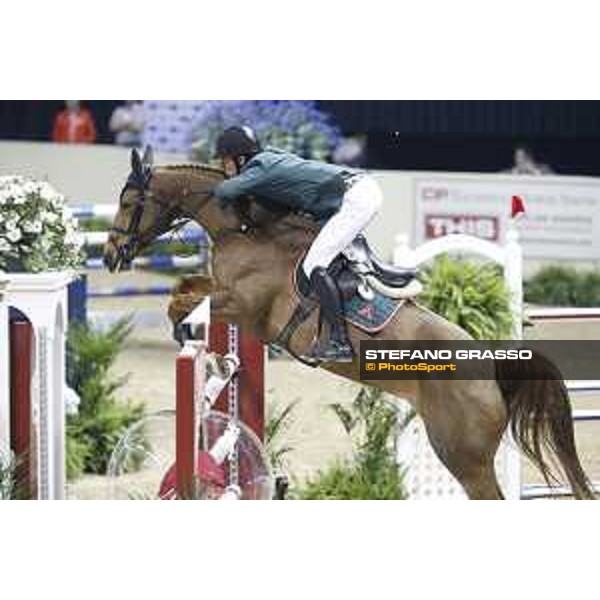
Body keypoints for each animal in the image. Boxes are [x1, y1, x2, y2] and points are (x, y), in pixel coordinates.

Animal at [104, 149, 596, 496]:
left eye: (128, 201)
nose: (110, 255)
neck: (244, 228)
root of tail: (491, 364)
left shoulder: (243, 306)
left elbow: (182, 301)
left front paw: (187, 334)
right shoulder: (226, 293)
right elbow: (185, 286)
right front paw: (210, 355)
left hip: (461, 454)